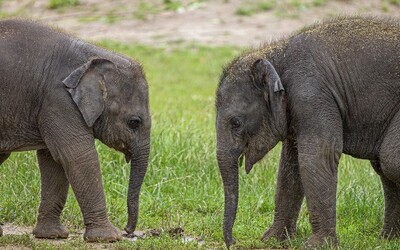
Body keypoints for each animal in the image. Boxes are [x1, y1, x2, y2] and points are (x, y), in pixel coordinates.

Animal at [0, 18, 152, 241]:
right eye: (134, 122)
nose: (128, 231)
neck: (92, 58)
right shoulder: (59, 100)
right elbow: (78, 156)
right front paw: (108, 237)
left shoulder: (52, 105)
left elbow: (53, 161)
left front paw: (53, 235)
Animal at [217, 16, 400, 249]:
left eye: (236, 122)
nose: (232, 242)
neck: (277, 52)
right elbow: (290, 165)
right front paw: (273, 239)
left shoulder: (312, 96)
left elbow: (316, 157)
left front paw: (317, 245)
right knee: (383, 165)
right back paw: (388, 240)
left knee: (390, 161)